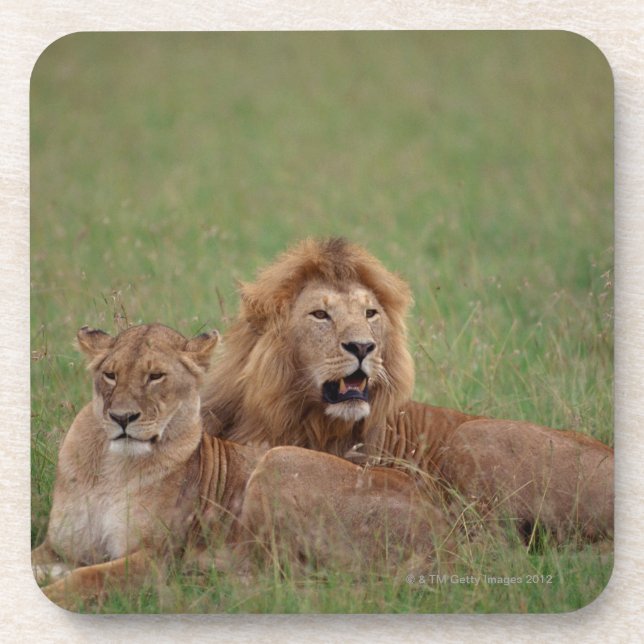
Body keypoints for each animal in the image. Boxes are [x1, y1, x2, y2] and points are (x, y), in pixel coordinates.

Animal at [33, 323, 449, 609]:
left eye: (156, 376)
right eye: (111, 374)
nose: (121, 418)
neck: (111, 467)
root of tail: (439, 529)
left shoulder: (154, 557)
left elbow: (85, 579)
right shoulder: (57, 547)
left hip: (277, 461)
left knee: (282, 578)